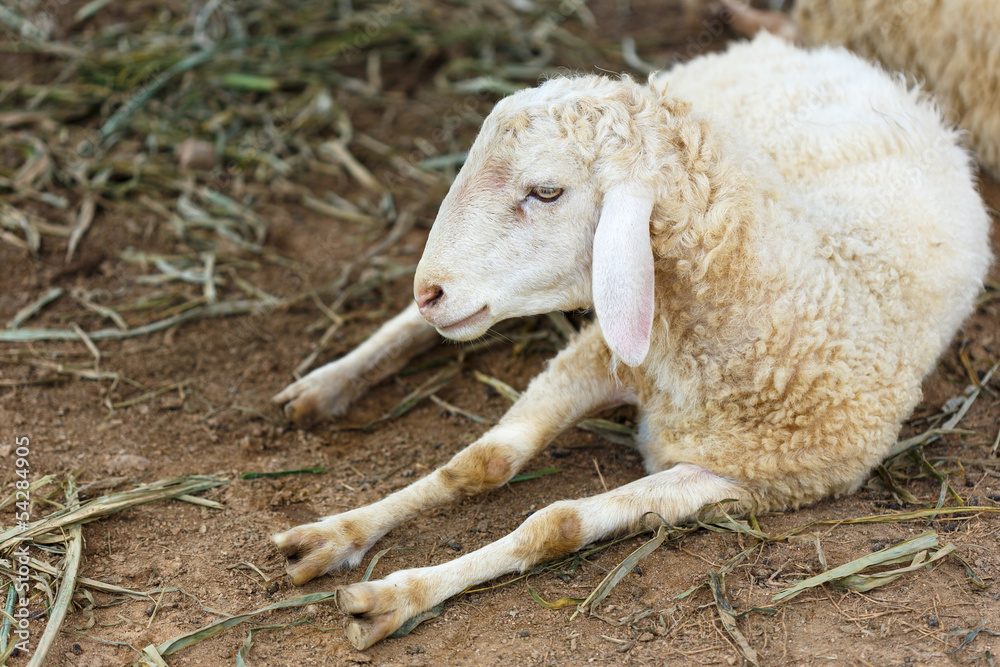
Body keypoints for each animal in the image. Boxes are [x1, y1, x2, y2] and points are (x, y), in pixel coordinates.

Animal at [272, 33, 992, 650]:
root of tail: (847, 60)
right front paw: (332, 534)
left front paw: (393, 595)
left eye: (547, 191)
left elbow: (555, 521)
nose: (432, 291)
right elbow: (482, 462)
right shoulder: (602, 354)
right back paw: (329, 383)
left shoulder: (749, 478)